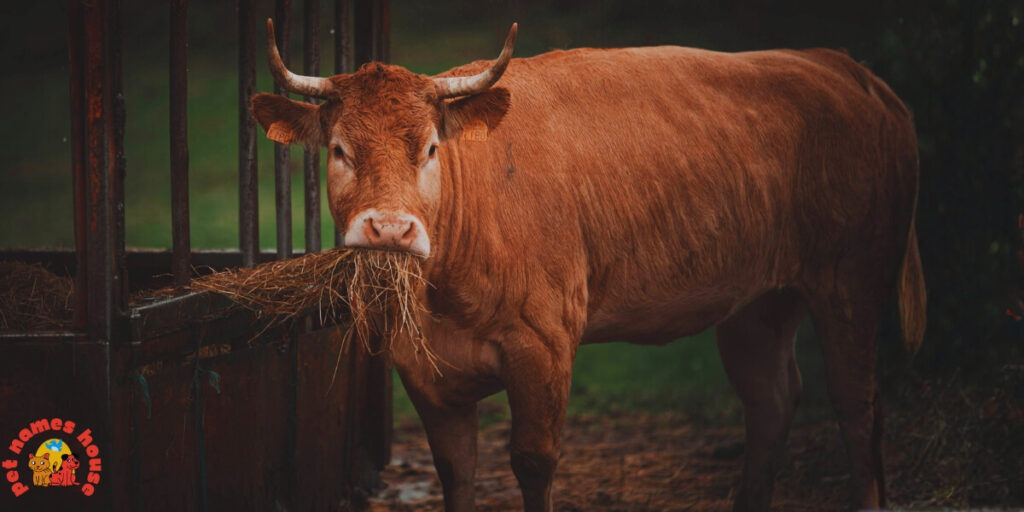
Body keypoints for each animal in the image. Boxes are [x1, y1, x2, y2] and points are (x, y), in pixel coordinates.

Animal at [251, 19, 925, 512]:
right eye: (340, 150)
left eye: (431, 149)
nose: (390, 228)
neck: (445, 298)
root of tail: (842, 67)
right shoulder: (421, 366)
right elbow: (456, 470)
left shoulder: (543, 341)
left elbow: (533, 461)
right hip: (758, 300)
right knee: (772, 401)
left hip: (850, 281)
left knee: (858, 405)